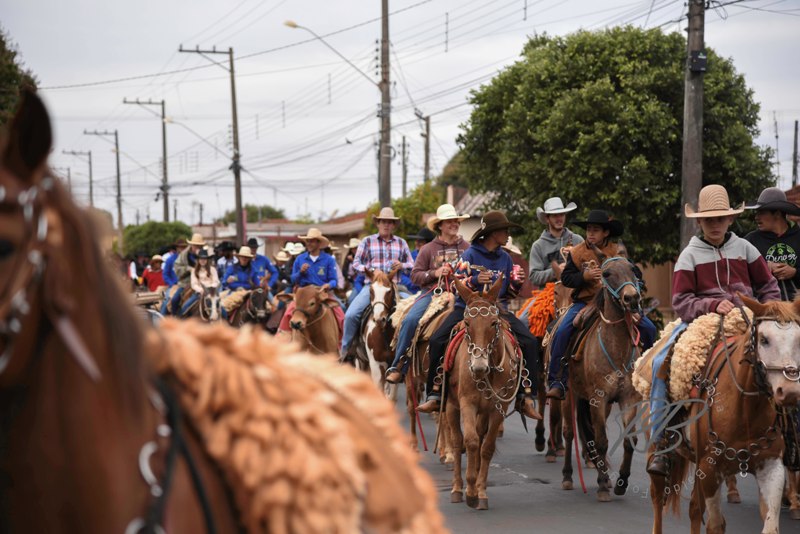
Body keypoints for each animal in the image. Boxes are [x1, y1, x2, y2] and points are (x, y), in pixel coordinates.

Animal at [354, 270, 398, 400]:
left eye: (389, 291)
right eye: (371, 291)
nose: (379, 319)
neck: (385, 334)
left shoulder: (394, 367)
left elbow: (391, 396)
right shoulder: (376, 365)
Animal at [444, 278, 524, 512]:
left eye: (493, 323)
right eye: (467, 323)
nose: (478, 367)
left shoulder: (499, 409)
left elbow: (486, 447)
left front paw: (480, 491)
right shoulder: (467, 404)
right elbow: (470, 442)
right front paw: (470, 491)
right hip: (451, 406)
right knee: (457, 440)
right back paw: (456, 488)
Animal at [564, 256, 644, 502]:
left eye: (633, 270)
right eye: (606, 274)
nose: (632, 298)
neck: (616, 348)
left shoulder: (628, 399)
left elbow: (629, 441)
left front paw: (621, 482)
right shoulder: (597, 400)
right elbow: (600, 441)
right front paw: (601, 487)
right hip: (567, 395)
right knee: (568, 433)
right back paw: (567, 476)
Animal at [648, 296, 800, 532]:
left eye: (799, 339)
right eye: (764, 339)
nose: (790, 391)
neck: (745, 410)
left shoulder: (771, 467)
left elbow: (770, 525)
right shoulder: (710, 468)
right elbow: (716, 525)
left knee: (694, 509)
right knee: (657, 499)